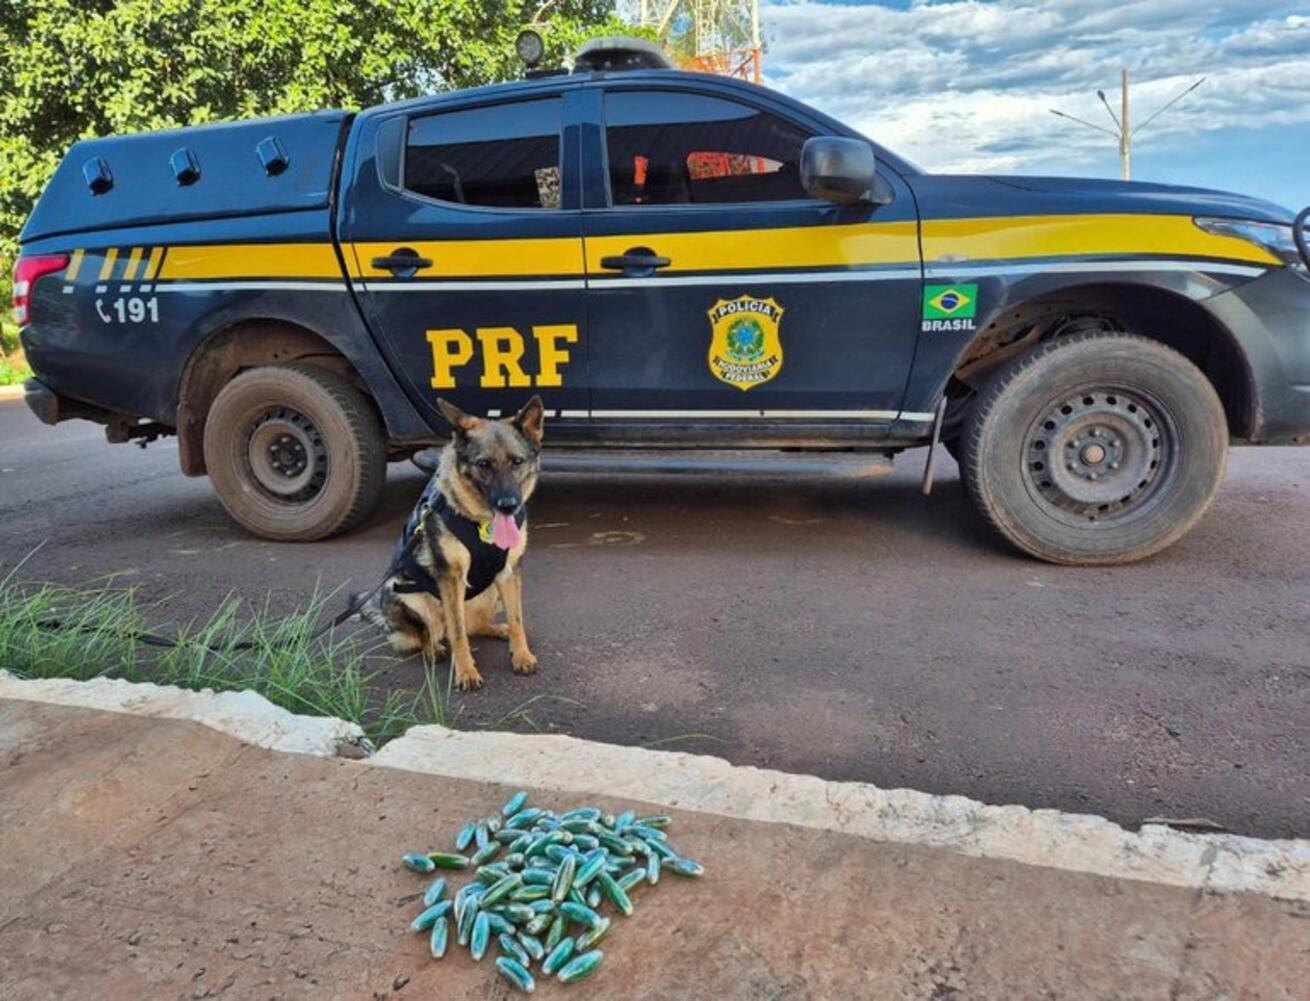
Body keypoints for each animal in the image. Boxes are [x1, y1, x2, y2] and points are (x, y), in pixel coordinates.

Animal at [358, 395, 542, 691]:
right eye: (483, 464)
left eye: (517, 462)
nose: (508, 506)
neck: (480, 522)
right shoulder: (451, 577)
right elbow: (457, 633)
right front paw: (466, 672)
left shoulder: (509, 573)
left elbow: (516, 620)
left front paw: (521, 654)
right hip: (401, 592)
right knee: (430, 632)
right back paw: (433, 649)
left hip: (491, 592)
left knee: (475, 626)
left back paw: (498, 630)